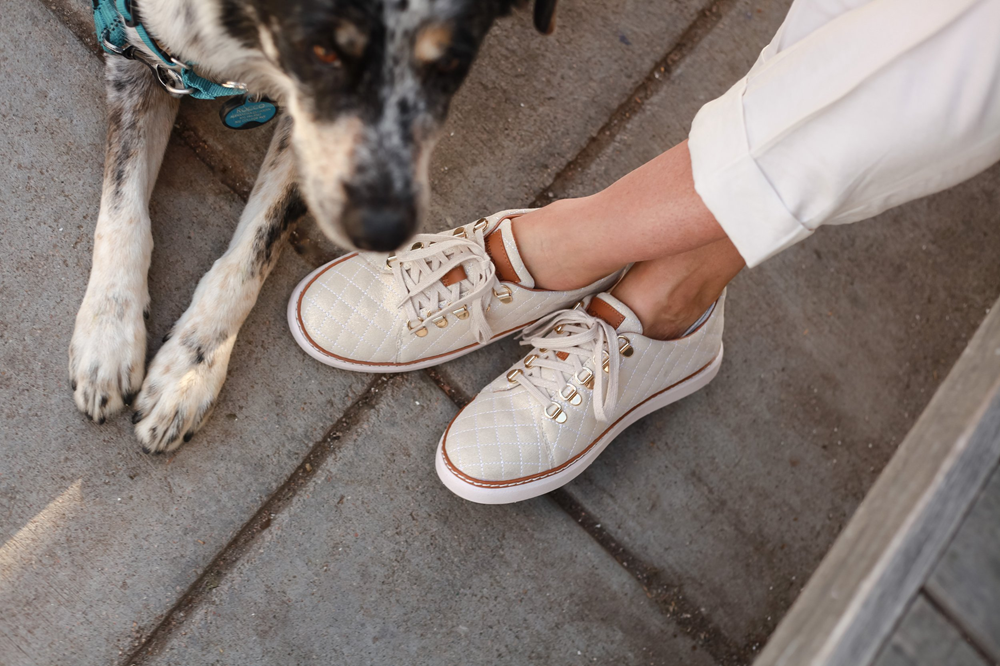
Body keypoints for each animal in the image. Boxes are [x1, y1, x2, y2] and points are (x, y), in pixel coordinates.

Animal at [68, 0, 556, 452]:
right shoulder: (135, 49)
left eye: (450, 65)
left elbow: (251, 254)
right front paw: (108, 335)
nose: (383, 230)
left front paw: (190, 371)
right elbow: (123, 206)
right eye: (322, 51)